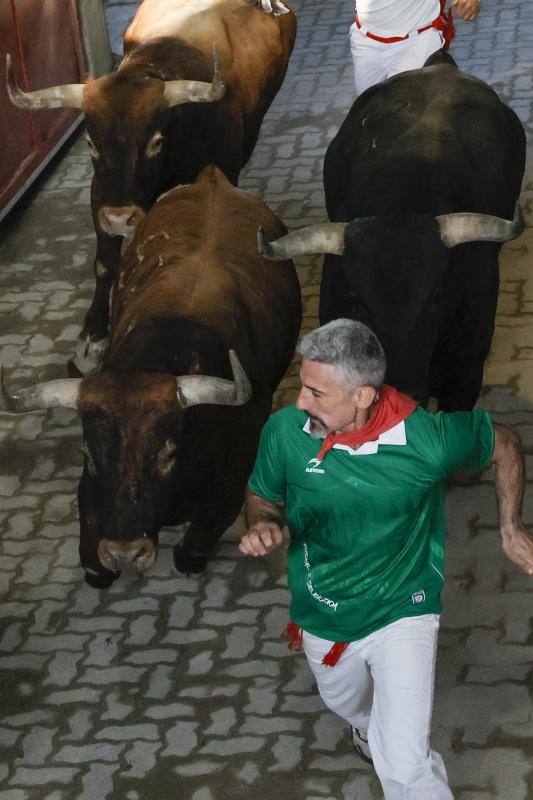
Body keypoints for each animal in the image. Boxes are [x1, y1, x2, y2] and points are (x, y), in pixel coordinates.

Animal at [0, 167, 302, 588]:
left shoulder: (232, 485)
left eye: (168, 453)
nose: (126, 552)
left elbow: (194, 548)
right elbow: (94, 559)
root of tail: (213, 178)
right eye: (89, 454)